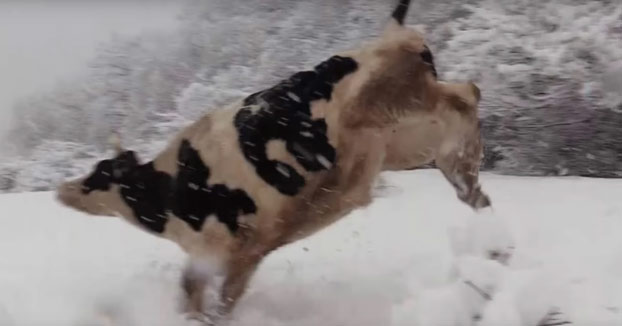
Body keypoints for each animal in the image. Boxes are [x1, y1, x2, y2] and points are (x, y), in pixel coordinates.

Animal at [54, 0, 492, 324]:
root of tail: (389, 36)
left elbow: (216, 300)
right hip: (405, 141)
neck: (170, 197)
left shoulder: (233, 248)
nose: (61, 190)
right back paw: (476, 201)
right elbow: (195, 291)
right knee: (466, 101)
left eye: (98, 175)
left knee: (467, 93)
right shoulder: (226, 253)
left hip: (400, 102)